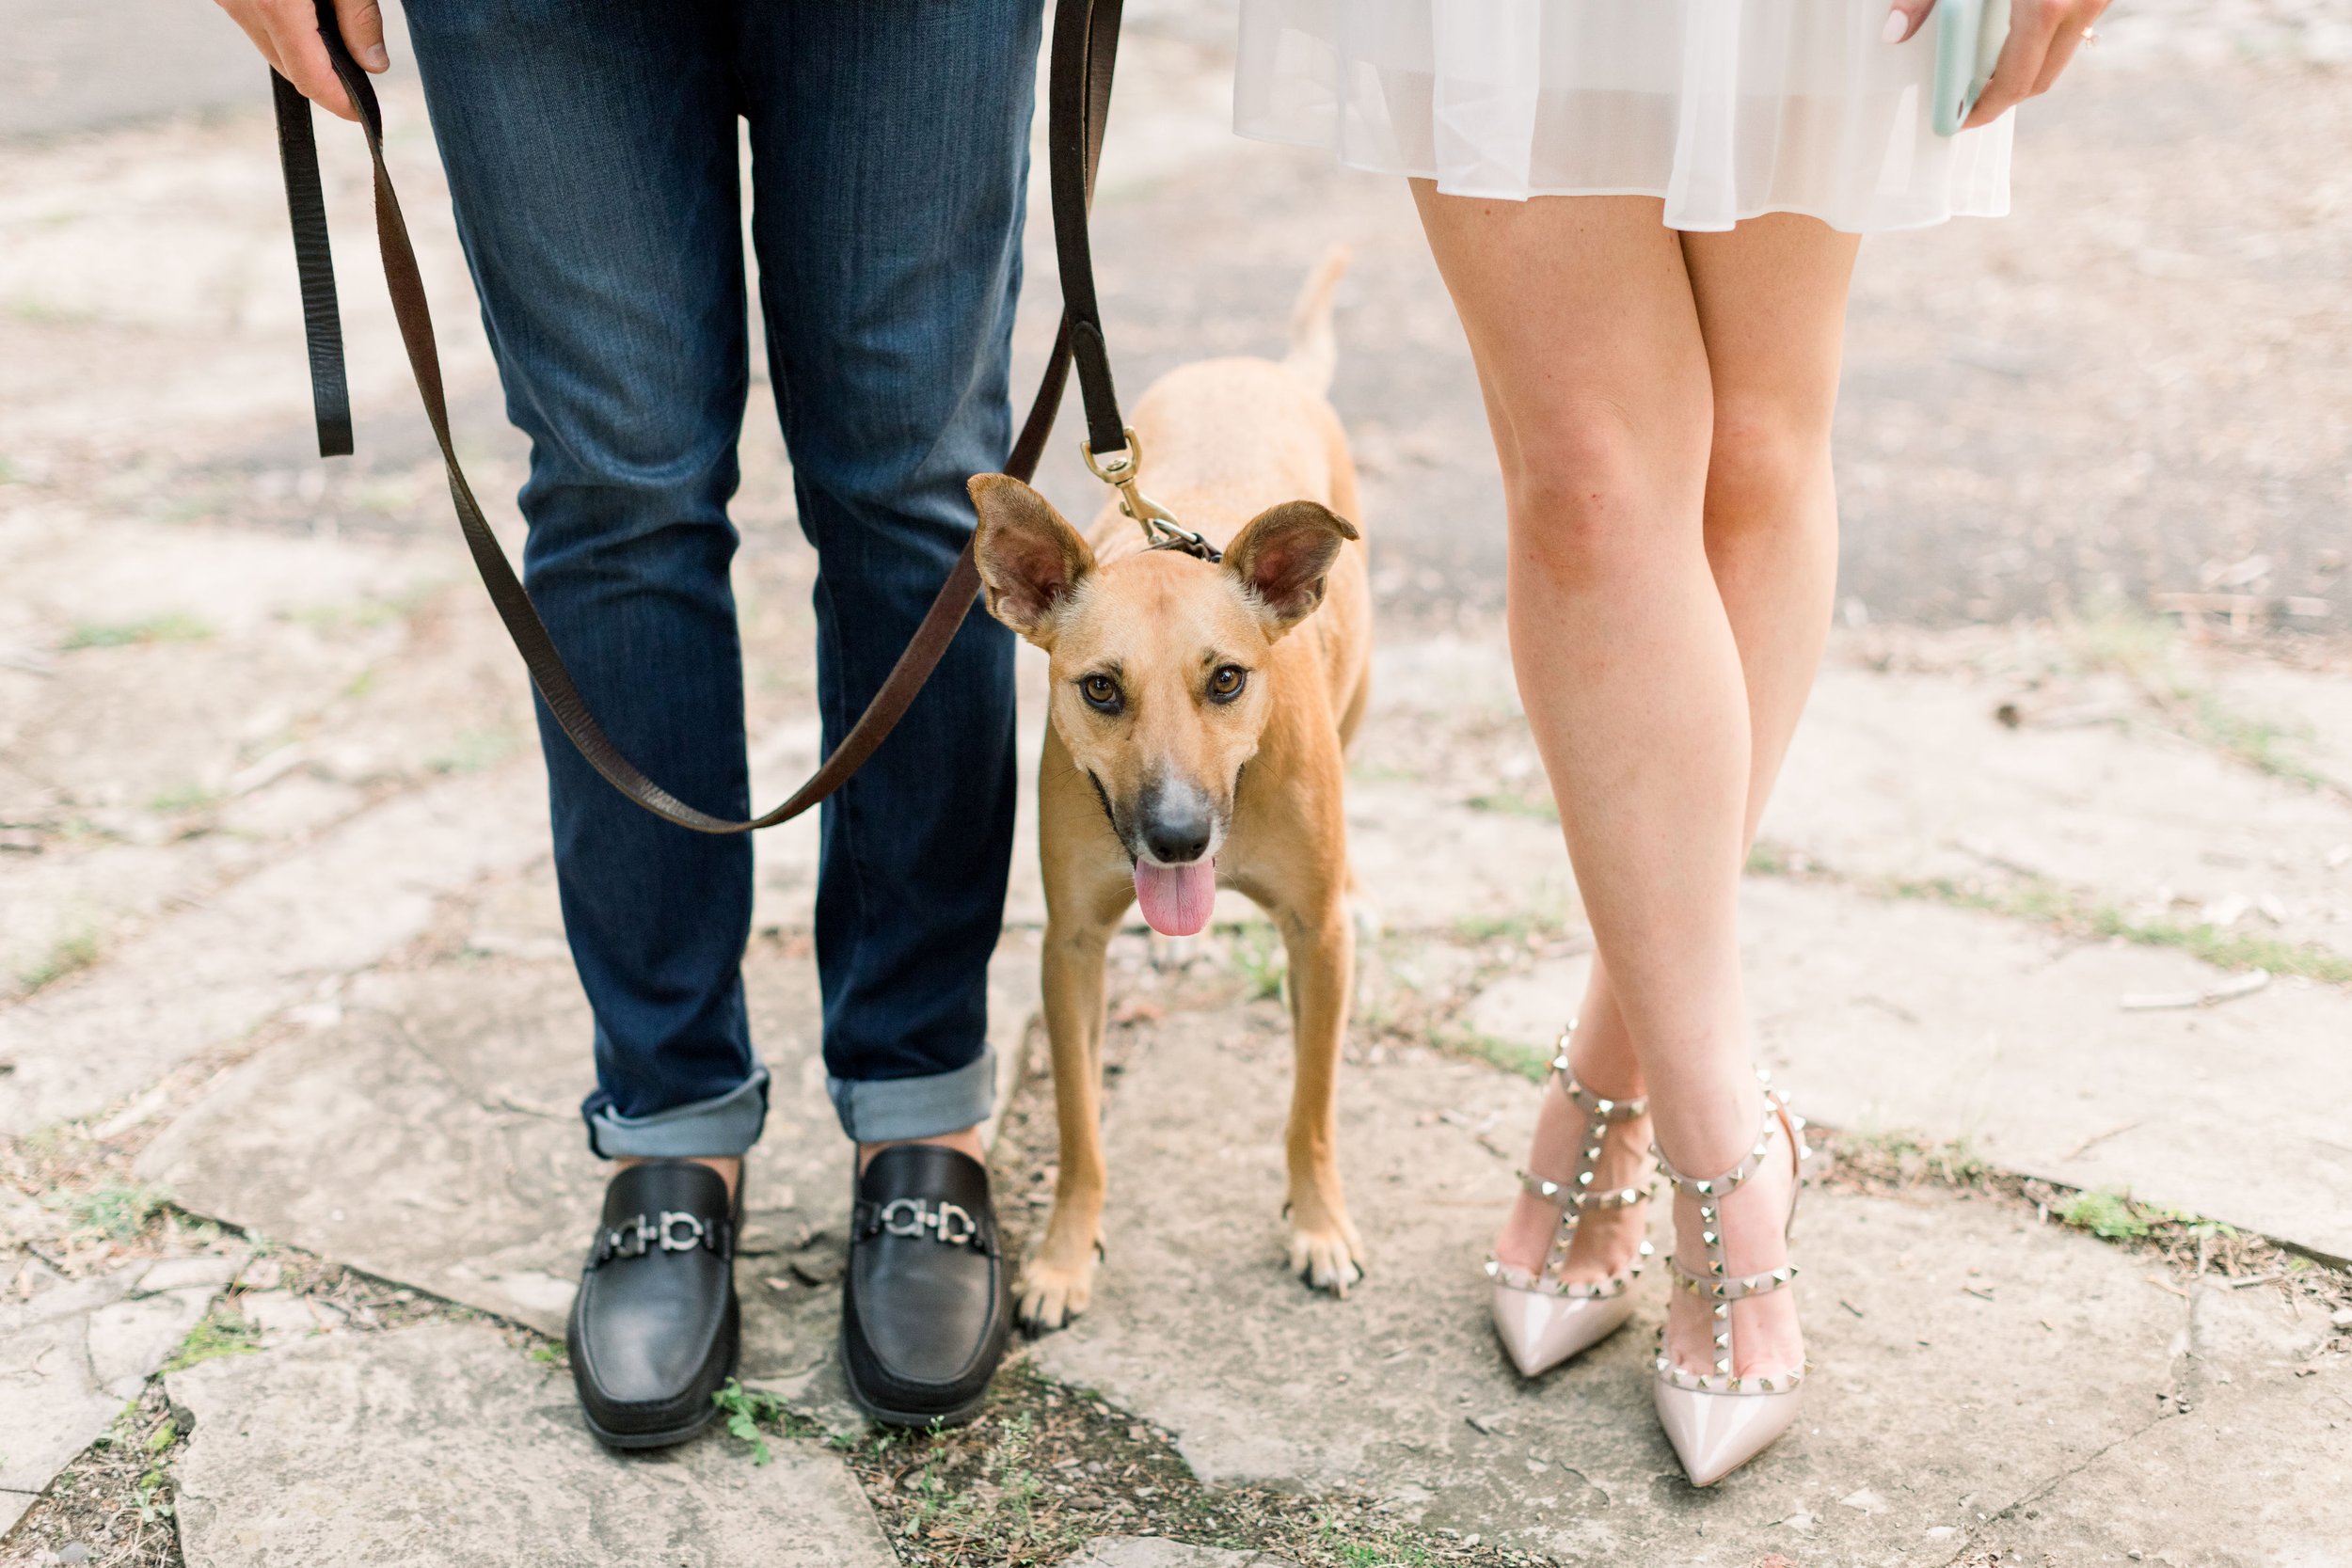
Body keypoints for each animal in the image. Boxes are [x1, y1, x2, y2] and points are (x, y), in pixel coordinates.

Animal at [964, 251, 1374, 1335]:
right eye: (1101, 688)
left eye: (1227, 679)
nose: (1181, 838)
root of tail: (1254, 365)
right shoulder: (1070, 946)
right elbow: (1079, 1126)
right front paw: (1064, 1256)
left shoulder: (1317, 933)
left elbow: (1312, 1109)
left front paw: (1319, 1223)